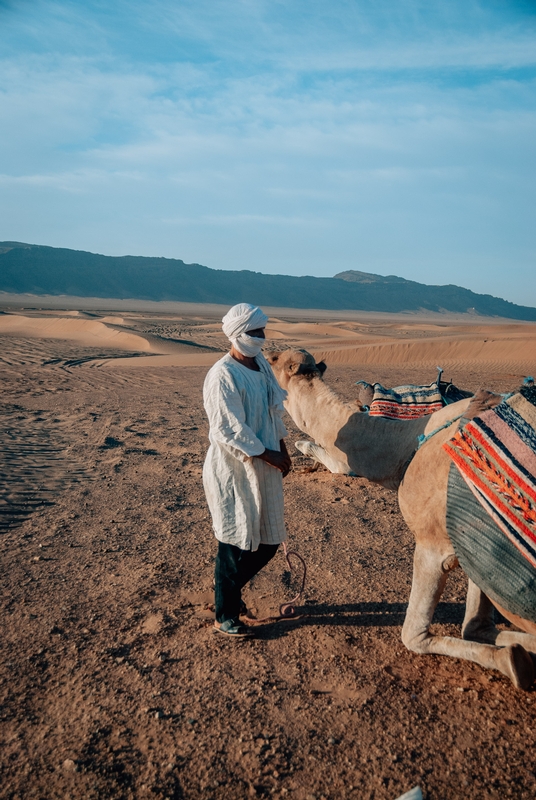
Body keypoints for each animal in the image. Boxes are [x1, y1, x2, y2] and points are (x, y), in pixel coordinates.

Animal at [268, 348, 536, 688]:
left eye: (272, 359)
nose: (263, 350)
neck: (402, 443)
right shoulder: (475, 546)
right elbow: (477, 625)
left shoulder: (436, 545)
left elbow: (416, 635)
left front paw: (512, 661)